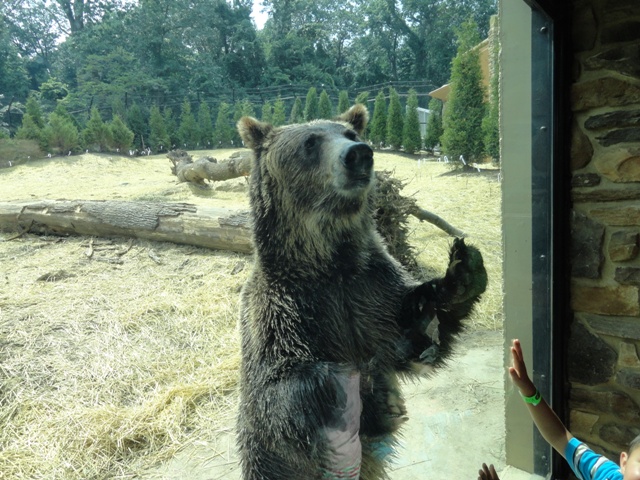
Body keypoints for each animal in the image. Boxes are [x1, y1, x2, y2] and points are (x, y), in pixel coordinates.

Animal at [236, 104, 487, 480]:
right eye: (311, 142)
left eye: (351, 134)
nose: (359, 154)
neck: (330, 264)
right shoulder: (284, 310)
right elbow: (278, 392)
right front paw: (361, 390)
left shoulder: (369, 291)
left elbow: (415, 336)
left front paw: (462, 268)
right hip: (268, 464)